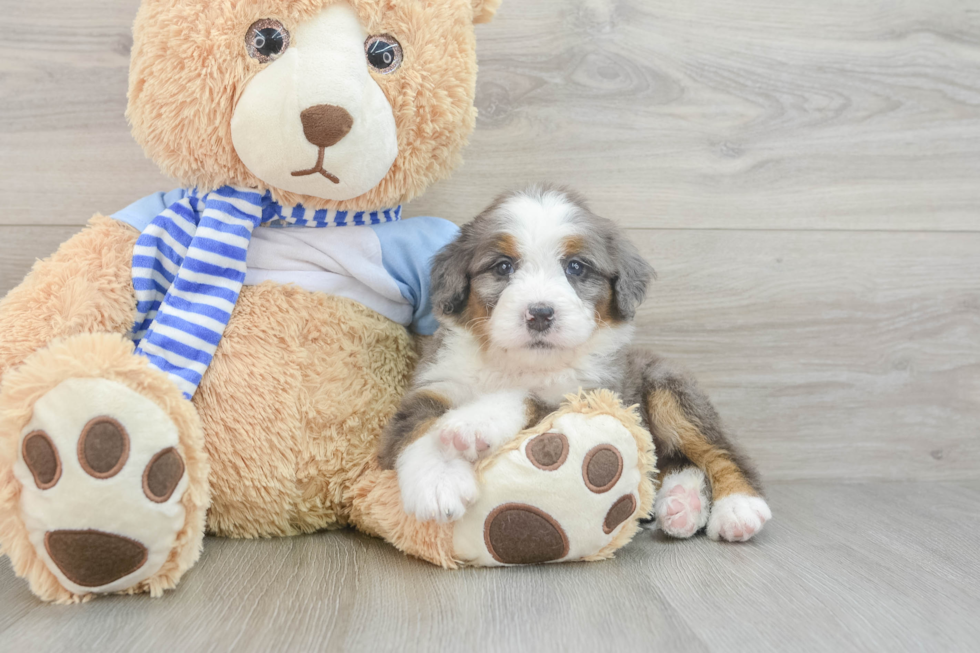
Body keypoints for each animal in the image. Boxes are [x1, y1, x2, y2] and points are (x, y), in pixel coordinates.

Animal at [378, 187, 768, 540]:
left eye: (576, 267)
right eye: (503, 266)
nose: (539, 313)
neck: (518, 363)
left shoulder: (590, 397)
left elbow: (527, 397)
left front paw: (473, 423)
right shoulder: (439, 382)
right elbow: (418, 426)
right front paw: (438, 482)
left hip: (668, 387)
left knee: (720, 451)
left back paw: (738, 508)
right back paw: (683, 503)